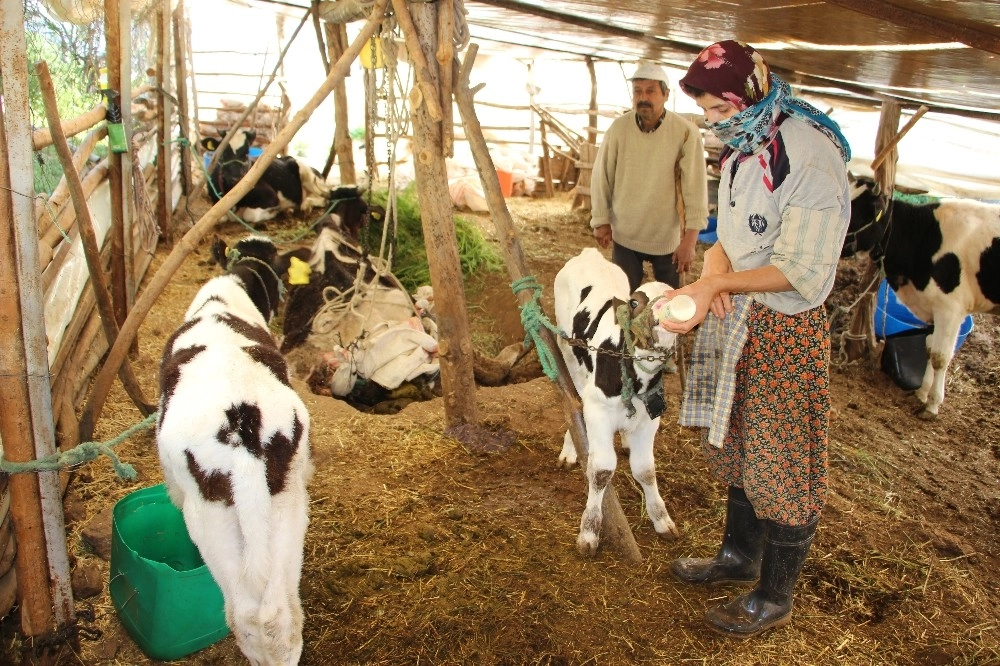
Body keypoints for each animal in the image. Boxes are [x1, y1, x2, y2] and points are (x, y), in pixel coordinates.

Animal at [552, 246, 684, 552]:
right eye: (635, 303)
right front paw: (589, 532)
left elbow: (646, 469)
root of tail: (590, 253)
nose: (664, 310)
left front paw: (662, 519)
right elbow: (601, 470)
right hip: (569, 352)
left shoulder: (650, 419)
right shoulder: (598, 409)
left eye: (674, 294)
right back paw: (571, 448)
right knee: (574, 397)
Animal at [844, 175, 1000, 416]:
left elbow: (940, 356)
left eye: (862, 210)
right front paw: (922, 392)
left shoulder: (951, 309)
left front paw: (932, 405)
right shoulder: (933, 305)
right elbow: (928, 346)